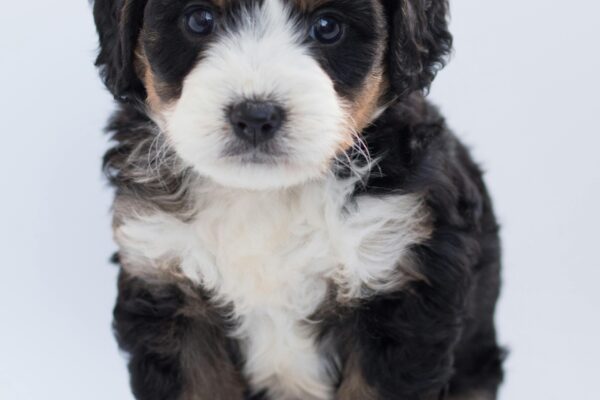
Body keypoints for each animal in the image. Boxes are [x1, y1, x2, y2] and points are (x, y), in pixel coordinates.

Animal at [94, 0, 504, 400]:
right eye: (200, 19)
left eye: (327, 26)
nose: (255, 116)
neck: (267, 196)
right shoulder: (165, 283)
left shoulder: (400, 286)